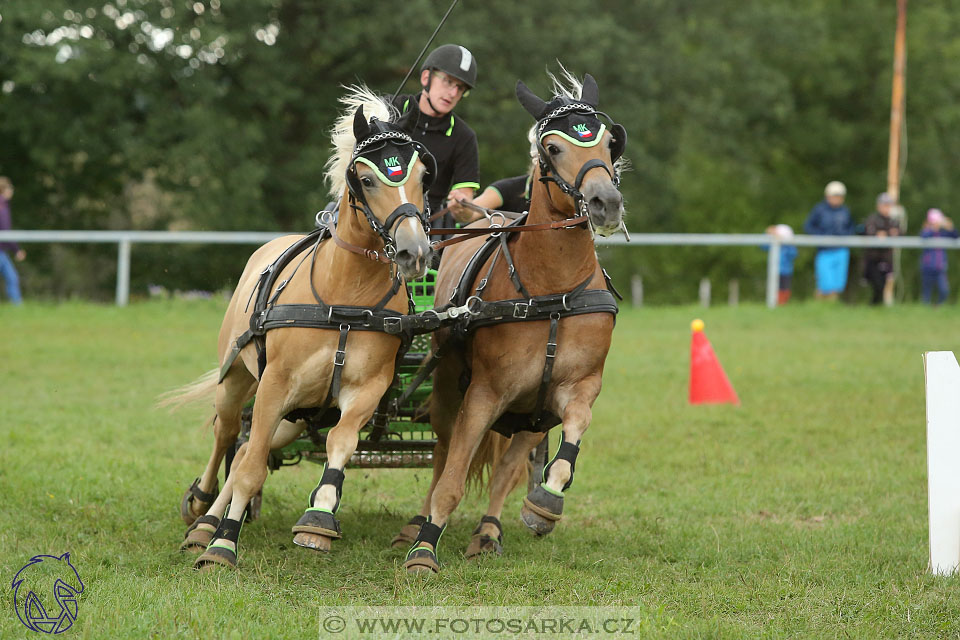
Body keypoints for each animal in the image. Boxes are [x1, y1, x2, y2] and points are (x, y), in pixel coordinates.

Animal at [164, 86, 436, 568]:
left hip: (301, 413)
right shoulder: (276, 383)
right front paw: (222, 544)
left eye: (423, 175)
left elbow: (341, 443)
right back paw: (202, 513)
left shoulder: (368, 388)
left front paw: (319, 518)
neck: (345, 303)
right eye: (366, 180)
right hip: (238, 379)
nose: (414, 251)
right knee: (229, 438)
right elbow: (250, 468)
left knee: (248, 448)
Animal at [396, 72, 624, 572]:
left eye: (608, 142)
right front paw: (424, 548)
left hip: (529, 414)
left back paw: (487, 531)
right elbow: (452, 476)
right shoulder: (484, 392)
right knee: (443, 452)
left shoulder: (576, 388)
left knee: (504, 469)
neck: (552, 294)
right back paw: (414, 526)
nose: (606, 202)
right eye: (552, 147)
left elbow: (567, 440)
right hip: (449, 388)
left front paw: (545, 504)